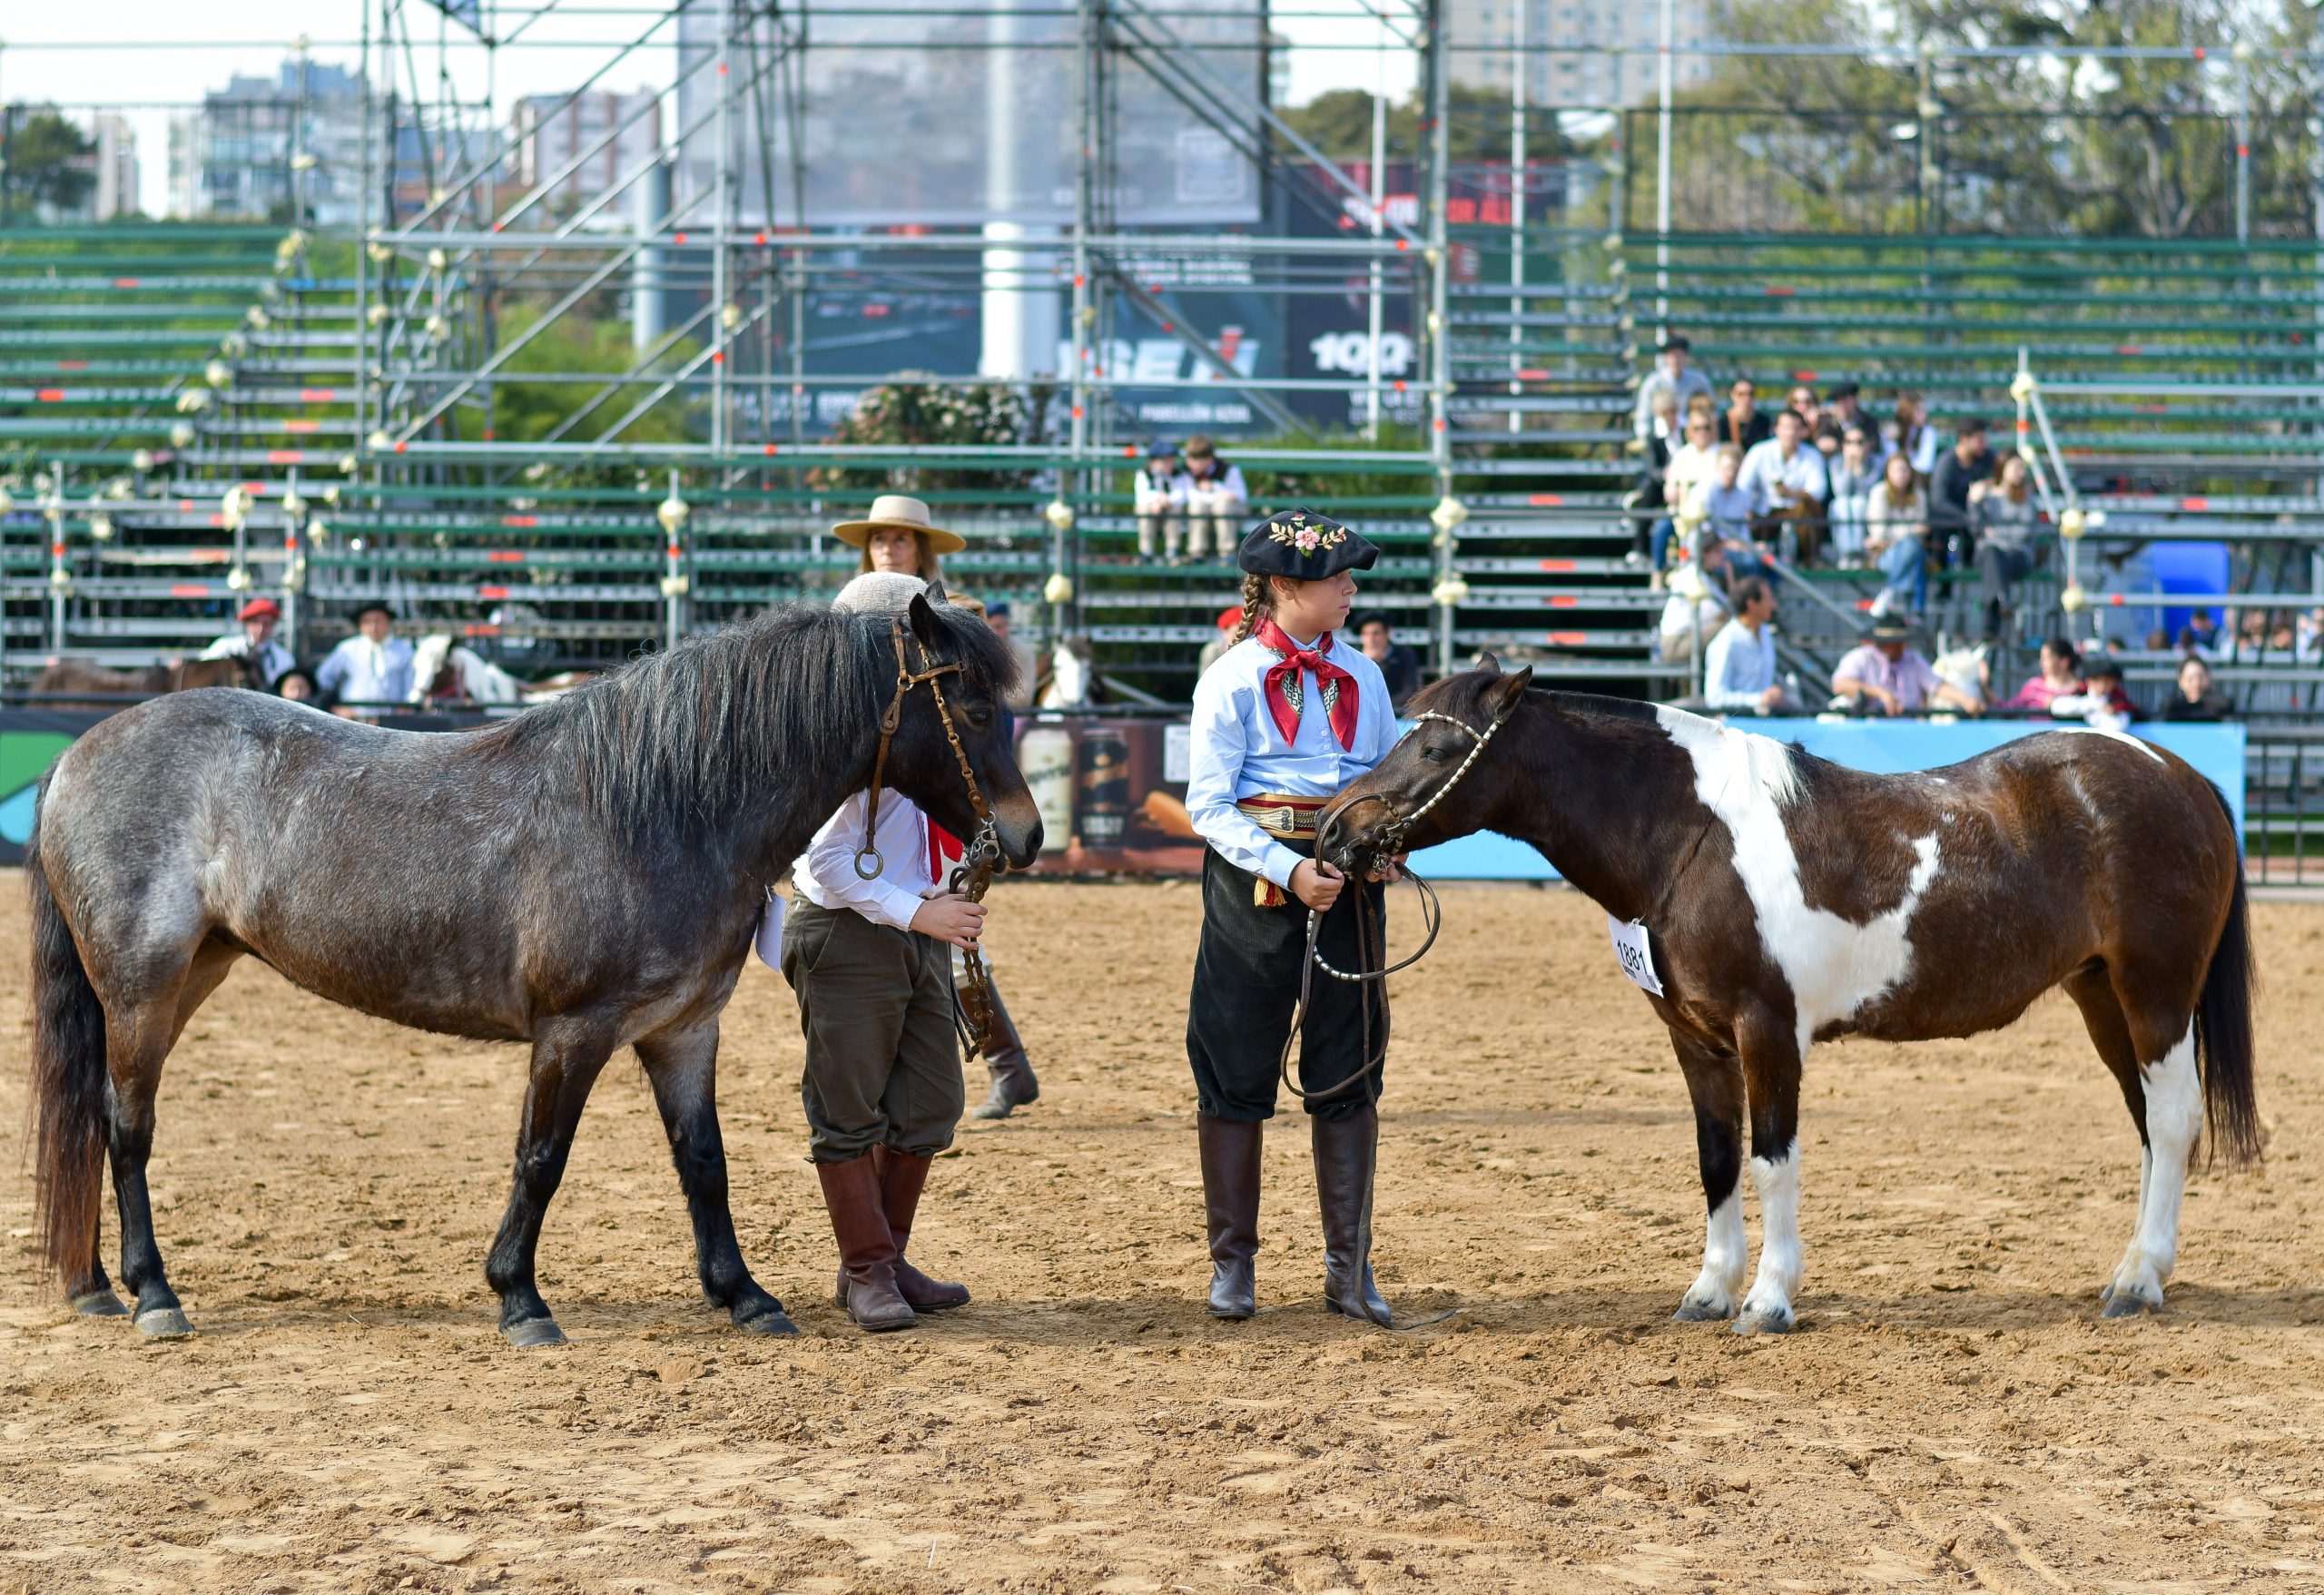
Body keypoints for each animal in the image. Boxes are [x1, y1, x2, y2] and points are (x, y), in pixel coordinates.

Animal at [25, 595, 1036, 1348]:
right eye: (975, 709)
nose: (1023, 836)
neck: (663, 807)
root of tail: (76, 755)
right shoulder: (574, 1030)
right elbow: (542, 1157)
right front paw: (520, 1298)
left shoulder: (683, 1029)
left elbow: (703, 1160)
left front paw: (744, 1294)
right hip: (143, 988)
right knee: (126, 1126)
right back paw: (155, 1294)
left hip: (193, 972)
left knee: (99, 1119)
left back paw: (97, 1285)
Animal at [1329, 660, 2250, 1339]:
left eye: (1437, 749)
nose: (1336, 827)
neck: (1689, 834)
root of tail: (2181, 773)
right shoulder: (1696, 1038)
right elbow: (1717, 1158)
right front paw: (1707, 1292)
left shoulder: (1767, 1029)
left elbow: (1773, 1160)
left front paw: (1768, 1299)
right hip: (2101, 994)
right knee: (2147, 1123)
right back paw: (2136, 1269)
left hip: (2155, 991)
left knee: (2173, 1120)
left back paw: (2137, 1282)